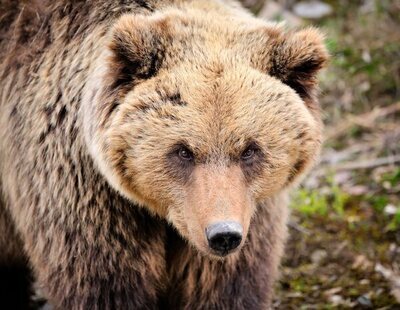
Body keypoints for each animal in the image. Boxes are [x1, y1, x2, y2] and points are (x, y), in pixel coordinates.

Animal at [0, 0, 328, 308]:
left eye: (249, 149)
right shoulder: (84, 191)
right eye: (183, 151)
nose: (223, 234)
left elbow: (222, 285)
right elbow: (106, 283)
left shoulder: (250, 209)